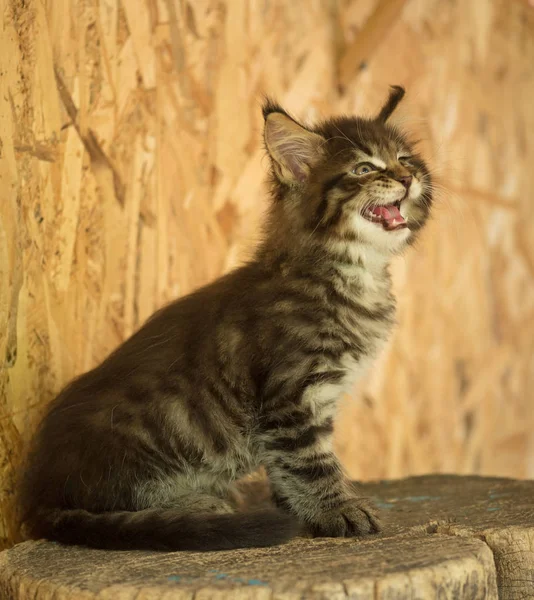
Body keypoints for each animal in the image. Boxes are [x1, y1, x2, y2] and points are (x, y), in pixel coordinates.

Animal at [18, 85, 434, 552]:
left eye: (405, 159)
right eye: (364, 169)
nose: (407, 179)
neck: (353, 273)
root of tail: (38, 494)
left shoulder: (305, 406)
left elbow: (287, 470)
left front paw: (302, 512)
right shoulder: (292, 396)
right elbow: (311, 463)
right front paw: (339, 510)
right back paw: (199, 505)